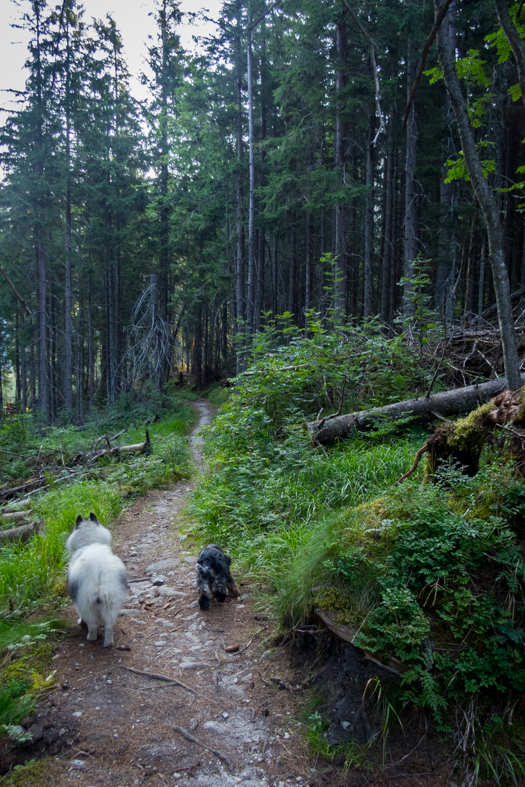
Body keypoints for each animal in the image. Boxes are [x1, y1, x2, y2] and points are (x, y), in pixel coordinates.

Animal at [66, 516, 127, 648]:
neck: (90, 542)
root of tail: (98, 573)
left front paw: (80, 622)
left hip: (86, 602)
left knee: (92, 625)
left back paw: (90, 638)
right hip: (111, 601)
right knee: (108, 626)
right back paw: (108, 643)